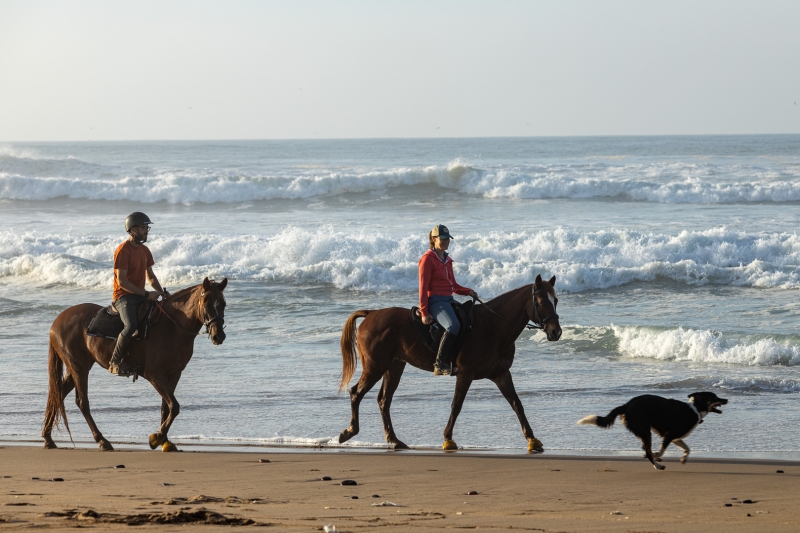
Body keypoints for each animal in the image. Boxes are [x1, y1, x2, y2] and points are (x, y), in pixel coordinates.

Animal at [42, 276, 227, 450]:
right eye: (206, 304)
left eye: (223, 304)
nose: (218, 336)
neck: (171, 327)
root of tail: (57, 321)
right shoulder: (154, 375)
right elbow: (174, 406)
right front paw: (157, 437)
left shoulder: (174, 374)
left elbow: (166, 407)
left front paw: (165, 441)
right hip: (78, 368)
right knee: (82, 403)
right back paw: (102, 441)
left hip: (76, 368)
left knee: (58, 394)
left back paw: (48, 437)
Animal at [338, 274, 564, 454]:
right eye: (541, 301)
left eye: (556, 300)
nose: (556, 332)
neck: (492, 326)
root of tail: (371, 313)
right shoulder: (466, 374)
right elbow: (457, 405)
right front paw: (448, 439)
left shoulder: (501, 374)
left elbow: (517, 404)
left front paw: (532, 439)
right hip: (375, 366)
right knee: (356, 393)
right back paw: (349, 431)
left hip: (394, 367)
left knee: (384, 401)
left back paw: (394, 440)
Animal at [580, 390, 728, 470]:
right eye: (714, 397)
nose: (726, 399)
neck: (695, 409)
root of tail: (626, 406)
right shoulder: (669, 435)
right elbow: (661, 451)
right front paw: (657, 455)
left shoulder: (675, 437)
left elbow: (687, 448)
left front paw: (683, 458)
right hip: (645, 431)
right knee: (648, 451)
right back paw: (657, 465)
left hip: (643, 431)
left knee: (645, 448)